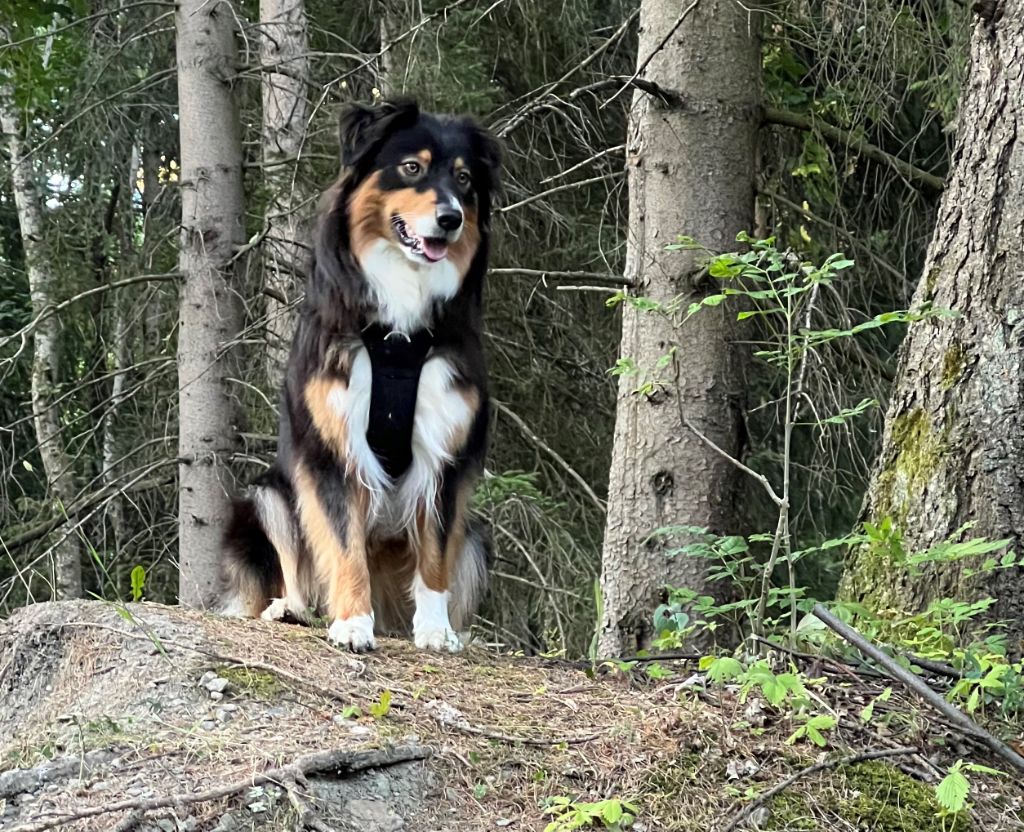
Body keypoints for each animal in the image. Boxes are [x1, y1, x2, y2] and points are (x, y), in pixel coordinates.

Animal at [220, 98, 499, 651]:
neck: (399, 331)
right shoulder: (332, 446)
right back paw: (290, 609)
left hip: (478, 538)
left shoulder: (446, 453)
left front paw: (435, 630)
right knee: (289, 566)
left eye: (463, 180)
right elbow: (344, 545)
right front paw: (351, 622)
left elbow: (435, 554)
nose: (451, 219)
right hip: (267, 496)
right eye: (411, 167)